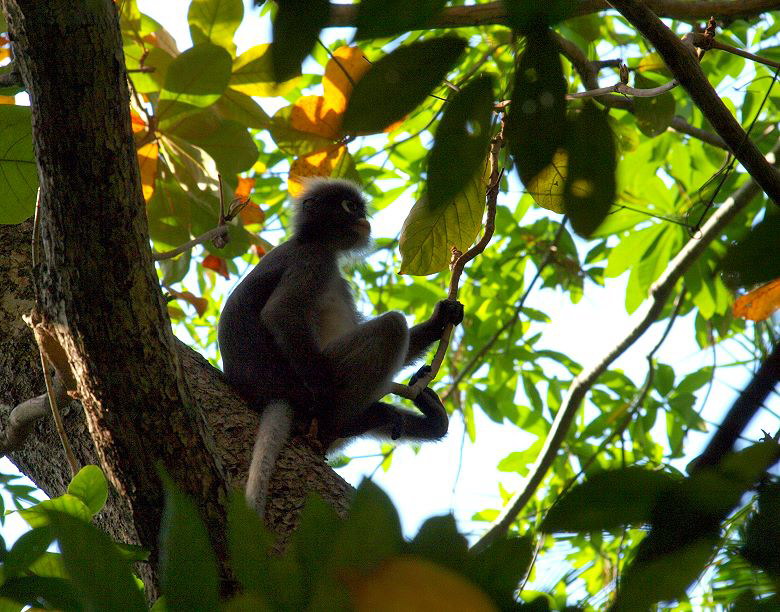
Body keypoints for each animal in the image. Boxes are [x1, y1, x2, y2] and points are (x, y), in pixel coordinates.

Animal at [219, 178, 464, 516]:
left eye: (360, 208)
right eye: (350, 206)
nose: (363, 218)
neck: (316, 241)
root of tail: (272, 394)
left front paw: (441, 319)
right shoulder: (312, 259)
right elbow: (281, 313)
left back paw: (429, 420)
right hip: (315, 379)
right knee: (391, 326)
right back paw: (349, 420)